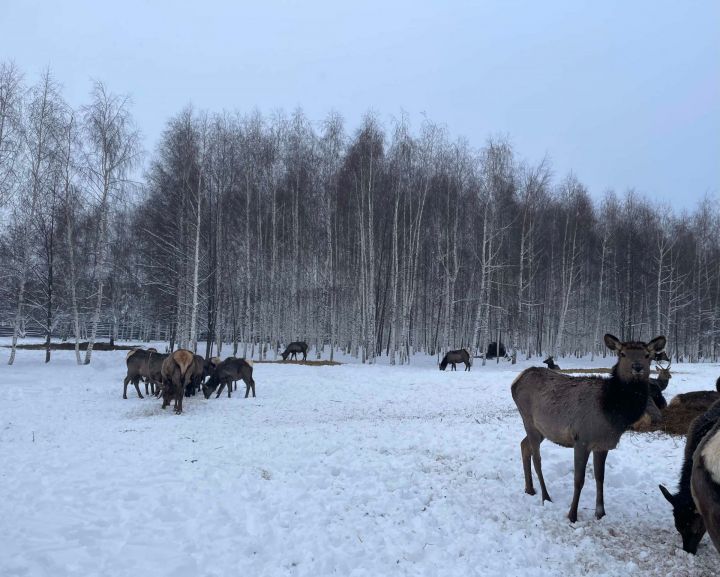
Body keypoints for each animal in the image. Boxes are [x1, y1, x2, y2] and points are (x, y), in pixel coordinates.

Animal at [510, 328, 668, 520]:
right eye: (622, 353)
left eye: (647, 355)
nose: (637, 367)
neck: (612, 412)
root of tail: (516, 380)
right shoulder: (581, 439)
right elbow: (579, 480)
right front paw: (572, 515)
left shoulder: (603, 445)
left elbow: (600, 478)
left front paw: (600, 512)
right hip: (528, 420)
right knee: (537, 458)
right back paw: (545, 496)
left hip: (542, 429)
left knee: (523, 445)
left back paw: (530, 489)